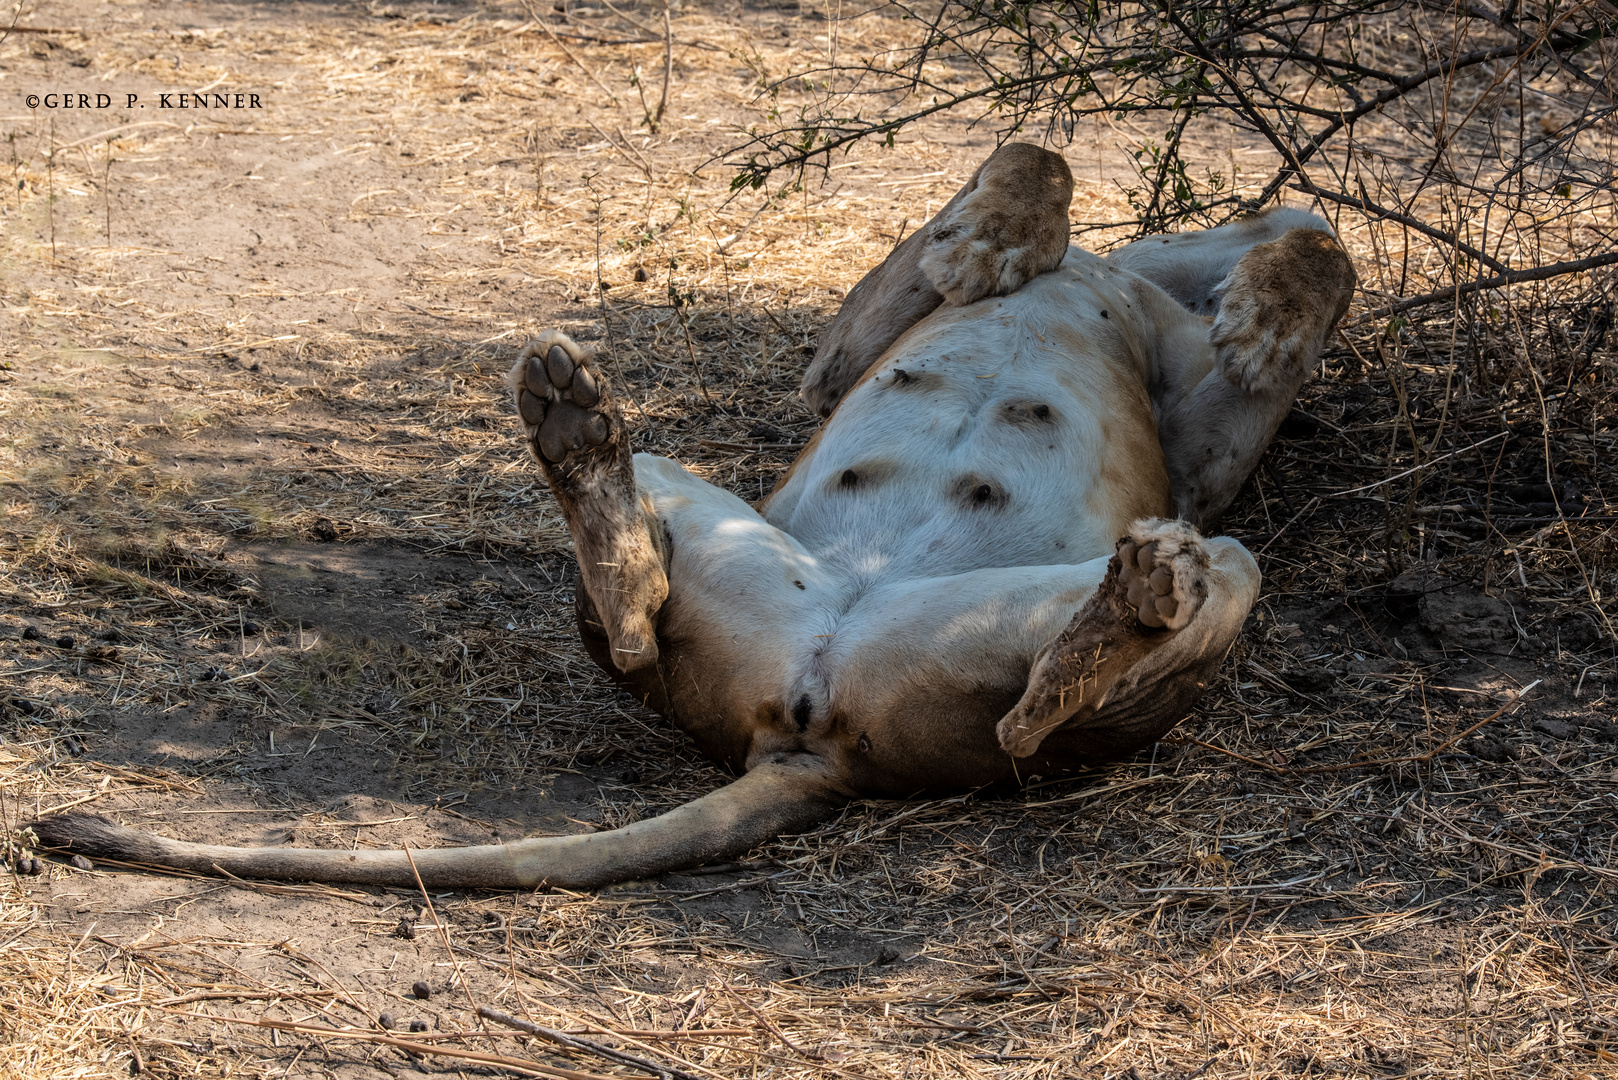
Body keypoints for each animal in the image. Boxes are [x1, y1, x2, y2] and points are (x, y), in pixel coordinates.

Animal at [34, 143, 1352, 887]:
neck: (1128, 273)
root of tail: (807, 729)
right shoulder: (852, 338)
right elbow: (1035, 154)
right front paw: (1005, 235)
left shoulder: (1204, 459)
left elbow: (1318, 243)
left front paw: (1272, 312)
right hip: (717, 521)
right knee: (631, 609)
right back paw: (578, 432)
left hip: (1214, 553)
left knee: (1054, 703)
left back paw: (1129, 607)